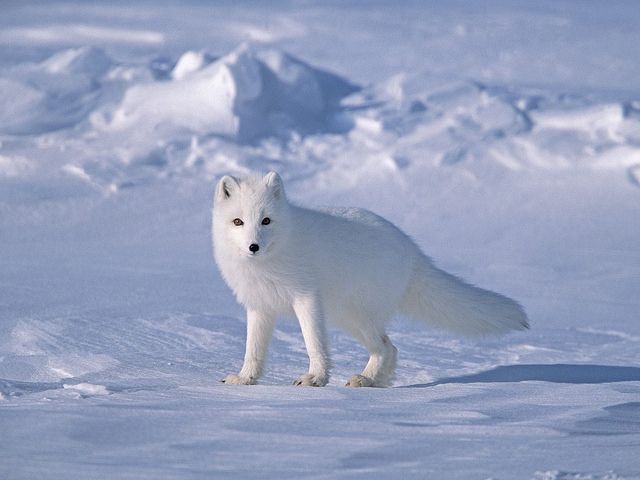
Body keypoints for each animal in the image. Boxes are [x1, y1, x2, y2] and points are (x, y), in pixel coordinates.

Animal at [212, 172, 528, 386]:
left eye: (266, 220)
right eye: (238, 221)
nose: (253, 246)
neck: (270, 261)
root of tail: (412, 250)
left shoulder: (306, 298)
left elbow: (314, 343)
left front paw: (315, 379)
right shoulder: (259, 307)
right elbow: (253, 350)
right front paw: (245, 379)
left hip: (354, 315)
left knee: (387, 347)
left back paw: (366, 379)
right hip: (348, 317)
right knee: (391, 348)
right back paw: (375, 381)